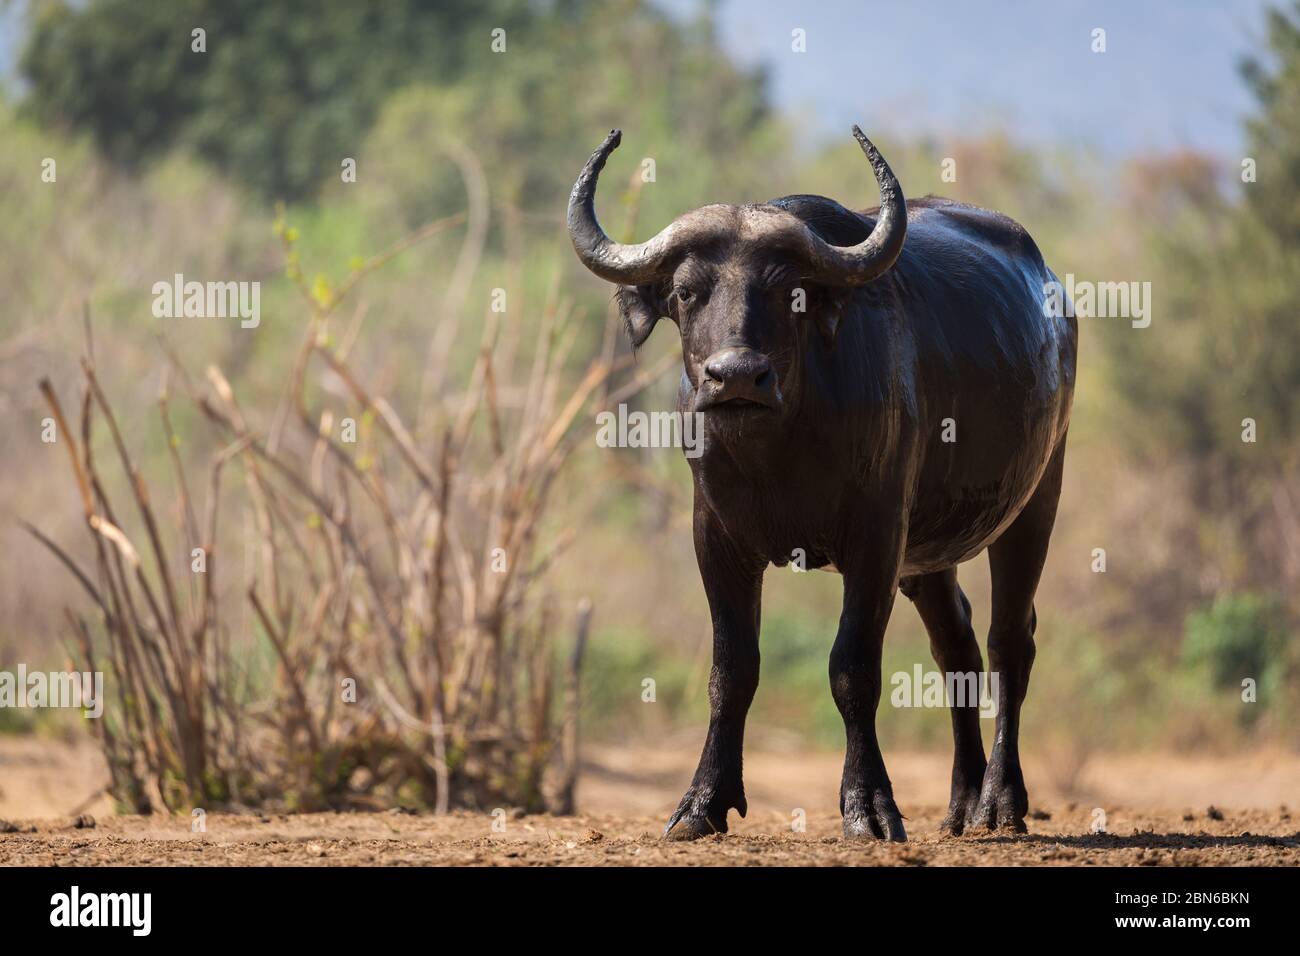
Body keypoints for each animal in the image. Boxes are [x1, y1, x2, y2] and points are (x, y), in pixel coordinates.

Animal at [569, 128, 1076, 842]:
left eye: (791, 293)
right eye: (688, 292)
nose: (737, 376)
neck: (778, 449)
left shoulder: (876, 537)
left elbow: (851, 668)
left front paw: (870, 805)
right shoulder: (716, 538)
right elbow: (732, 669)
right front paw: (701, 803)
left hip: (1035, 501)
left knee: (1011, 641)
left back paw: (1001, 801)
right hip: (929, 557)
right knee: (958, 646)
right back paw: (961, 801)